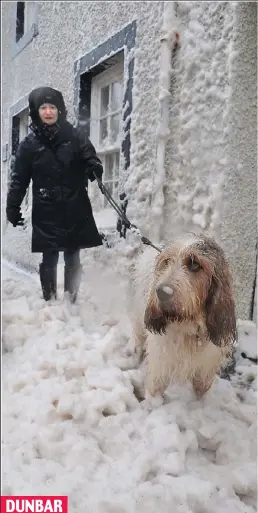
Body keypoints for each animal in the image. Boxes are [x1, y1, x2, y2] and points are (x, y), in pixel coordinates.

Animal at [130, 233, 237, 400]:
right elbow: (155, 392)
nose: (161, 292)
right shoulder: (160, 366)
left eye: (194, 264)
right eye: (167, 262)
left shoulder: (205, 370)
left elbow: (201, 391)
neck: (191, 329)